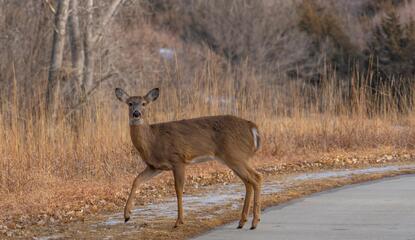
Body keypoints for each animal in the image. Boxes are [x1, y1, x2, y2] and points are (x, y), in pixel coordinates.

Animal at [115, 87, 262, 230]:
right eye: (130, 103)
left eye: (144, 103)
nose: (136, 114)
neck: (153, 140)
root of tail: (252, 127)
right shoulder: (155, 166)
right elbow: (137, 180)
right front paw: (127, 215)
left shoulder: (178, 159)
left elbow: (178, 189)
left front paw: (179, 221)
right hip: (235, 158)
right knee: (248, 181)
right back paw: (242, 221)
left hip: (235, 155)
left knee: (256, 177)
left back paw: (254, 222)